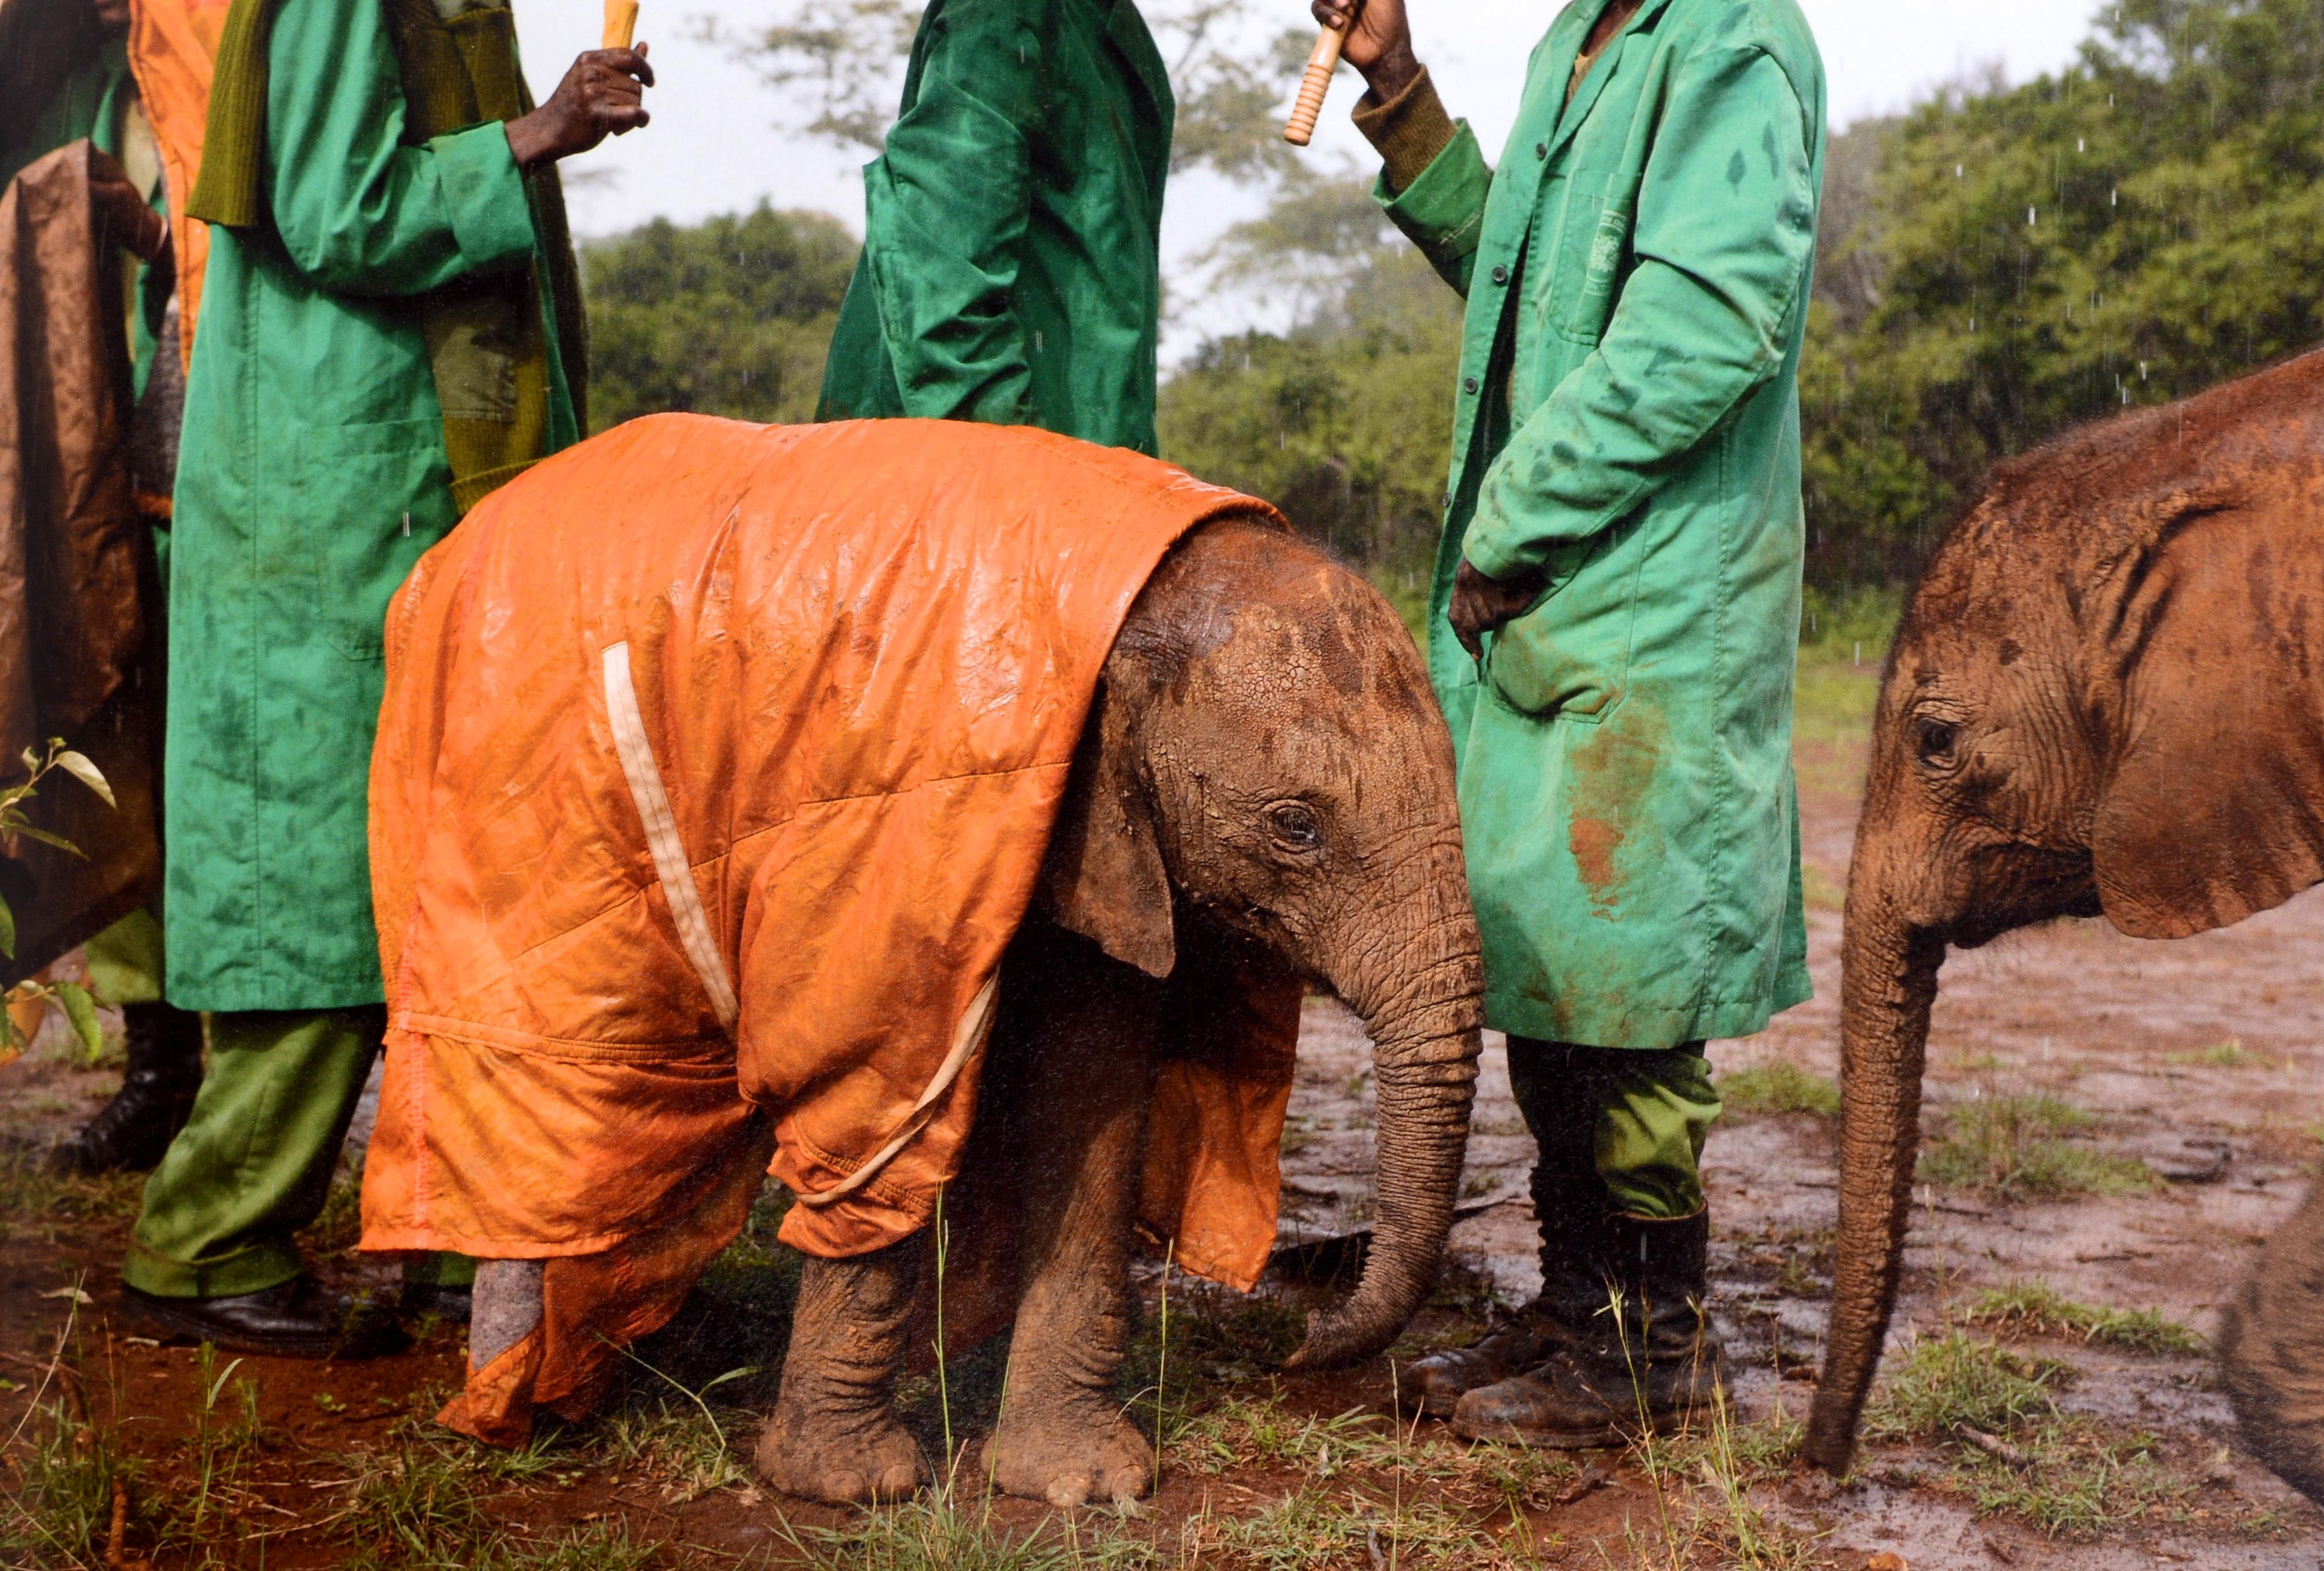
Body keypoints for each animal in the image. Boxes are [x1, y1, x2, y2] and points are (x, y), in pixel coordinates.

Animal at [362, 418, 1487, 1506]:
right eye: (1295, 825)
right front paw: (848, 1487)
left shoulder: (1109, 836)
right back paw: (525, 1398)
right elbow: (881, 1090)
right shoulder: (895, 838)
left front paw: (1078, 1483)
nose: (1296, 1350)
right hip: (503, 807)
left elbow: (1094, 1089)